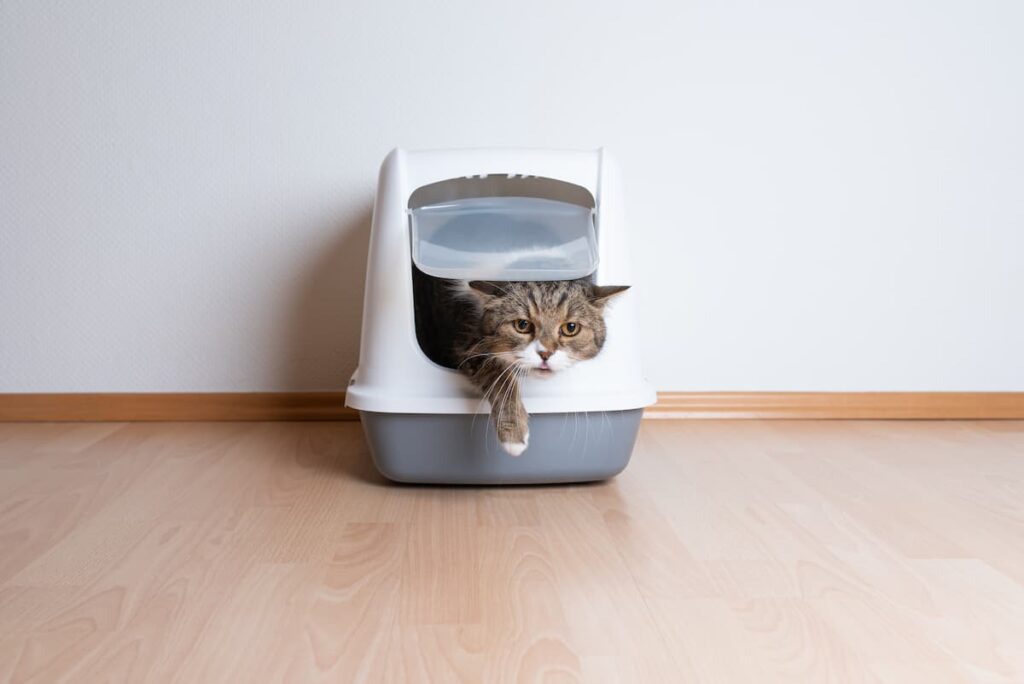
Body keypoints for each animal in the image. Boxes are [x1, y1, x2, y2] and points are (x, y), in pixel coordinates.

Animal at [452, 278, 626, 454]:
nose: (545, 353)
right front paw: (514, 433)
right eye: (522, 324)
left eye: (571, 328)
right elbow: (500, 377)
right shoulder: (468, 346)